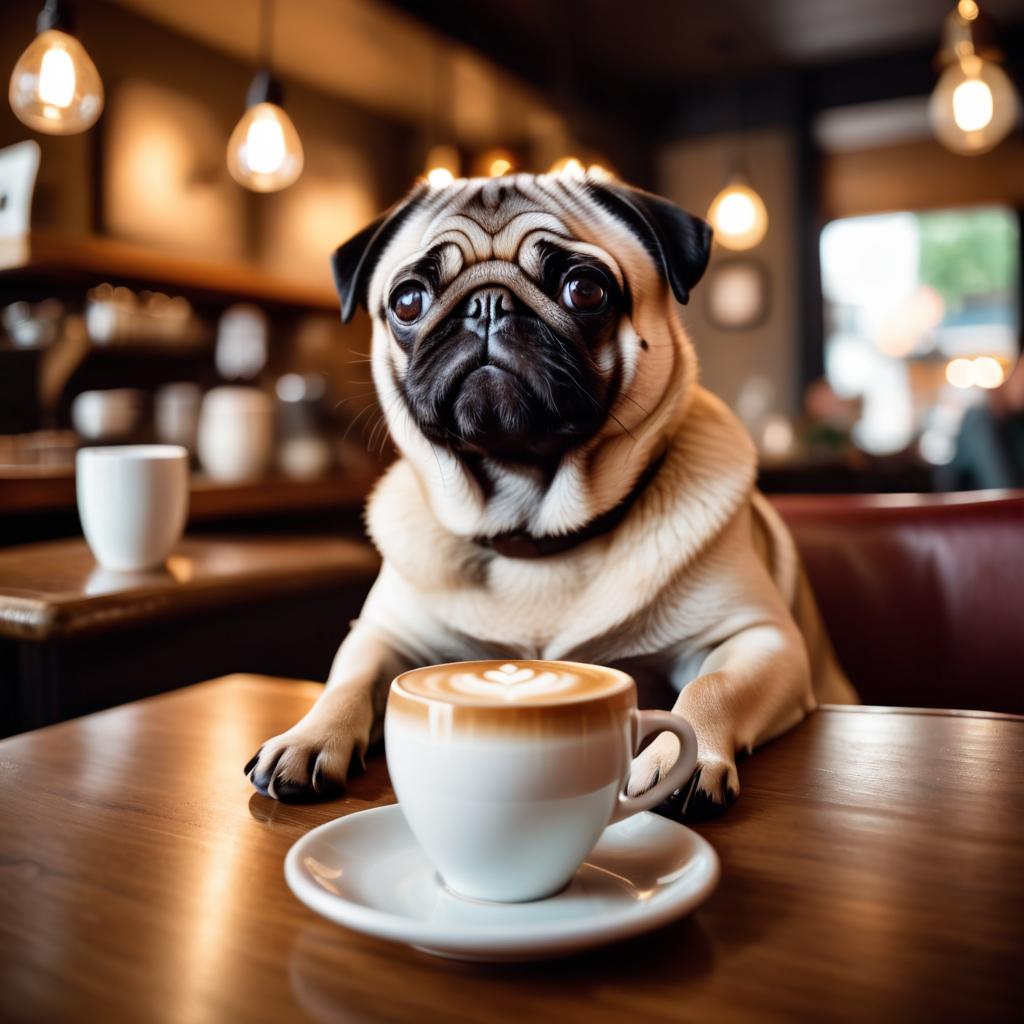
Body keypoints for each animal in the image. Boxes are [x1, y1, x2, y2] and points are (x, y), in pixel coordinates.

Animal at [241, 172, 856, 819]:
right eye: (407, 301)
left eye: (585, 289)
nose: (487, 304)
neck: (533, 527)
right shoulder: (384, 634)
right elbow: (348, 681)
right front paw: (310, 736)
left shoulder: (760, 639)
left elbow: (708, 685)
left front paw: (678, 760)